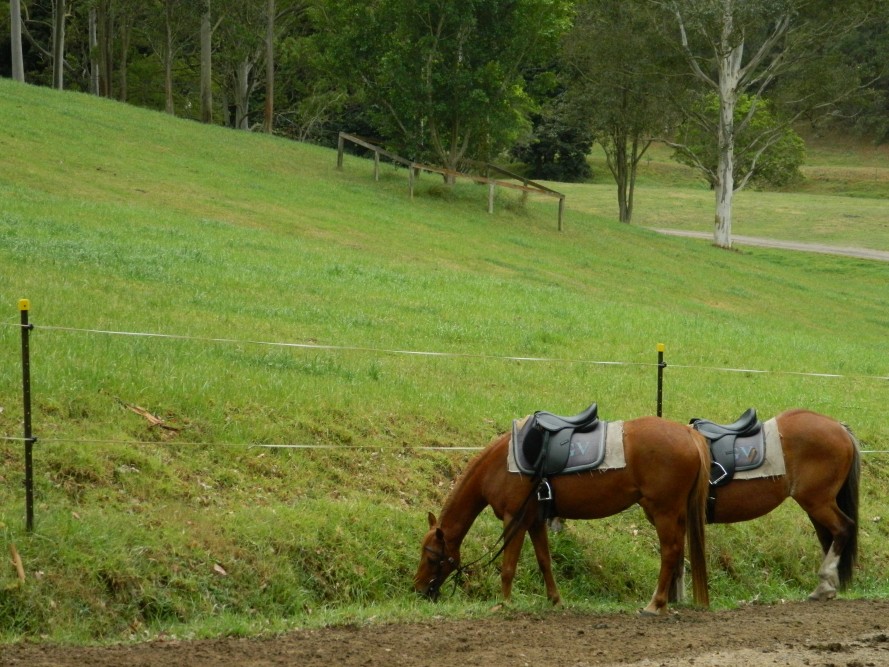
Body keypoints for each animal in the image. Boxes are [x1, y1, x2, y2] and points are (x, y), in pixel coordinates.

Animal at [412, 418, 712, 616]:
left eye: (431, 557)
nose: (418, 590)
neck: (500, 465)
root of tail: (689, 434)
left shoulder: (514, 520)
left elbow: (508, 567)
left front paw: (504, 603)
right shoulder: (534, 521)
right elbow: (545, 562)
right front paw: (555, 600)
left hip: (663, 511)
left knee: (670, 552)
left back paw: (655, 604)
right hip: (670, 513)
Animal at [704, 410, 856, 604]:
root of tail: (840, 427)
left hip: (818, 503)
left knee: (843, 528)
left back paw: (824, 583)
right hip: (817, 505)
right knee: (828, 536)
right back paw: (826, 585)